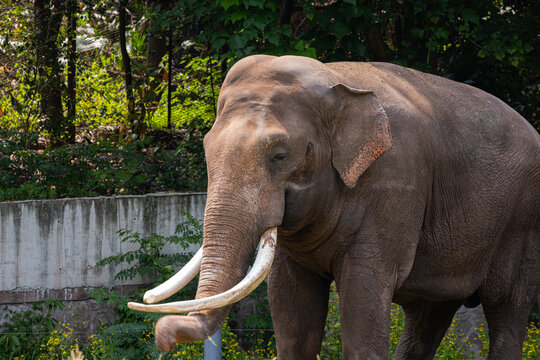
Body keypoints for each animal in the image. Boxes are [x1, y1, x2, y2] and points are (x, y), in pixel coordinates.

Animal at [130, 54, 540, 358]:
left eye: (279, 156)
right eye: (206, 148)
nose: (162, 333)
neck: (335, 80)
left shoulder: (396, 185)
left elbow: (363, 290)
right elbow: (290, 301)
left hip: (524, 221)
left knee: (507, 307)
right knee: (429, 314)